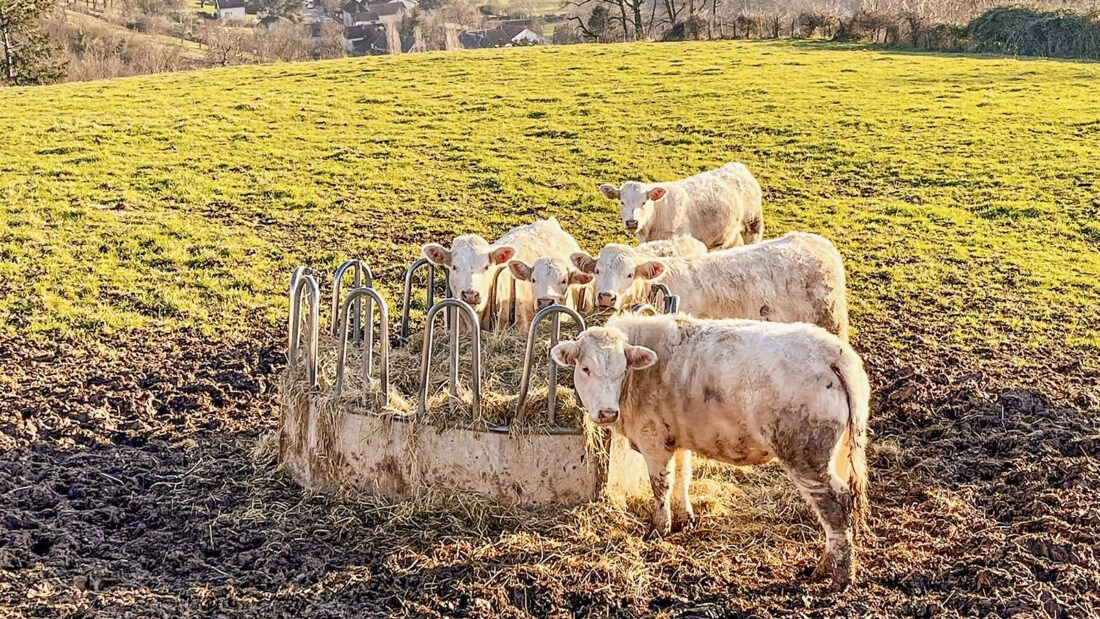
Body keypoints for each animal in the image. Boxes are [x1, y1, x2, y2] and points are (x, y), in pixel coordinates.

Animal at [554, 314, 871, 589]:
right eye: (586, 368)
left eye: (622, 370)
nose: (607, 412)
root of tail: (832, 352)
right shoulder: (677, 438)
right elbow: (682, 476)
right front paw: (684, 518)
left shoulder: (653, 439)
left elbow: (660, 485)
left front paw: (659, 528)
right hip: (833, 454)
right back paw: (826, 566)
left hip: (806, 456)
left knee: (835, 505)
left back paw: (839, 576)